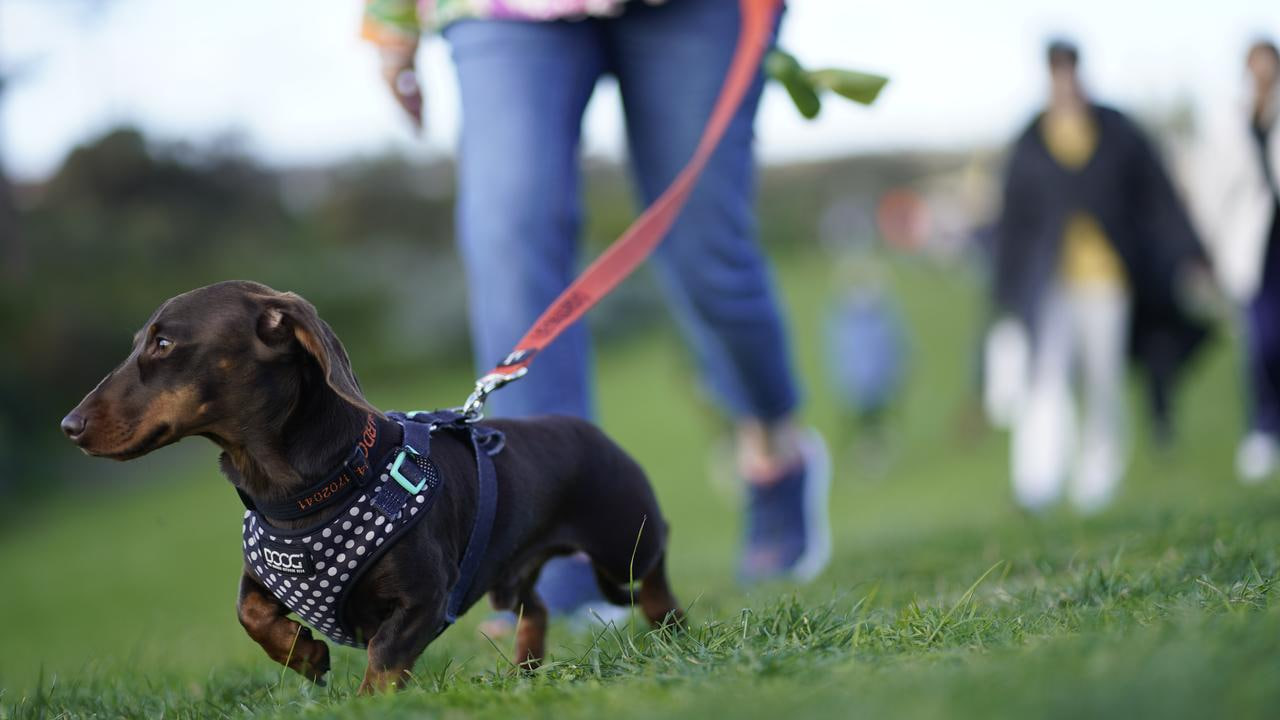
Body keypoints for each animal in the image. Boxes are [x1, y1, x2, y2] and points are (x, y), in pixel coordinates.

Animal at [62, 279, 680, 691]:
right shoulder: (262, 579)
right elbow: (250, 613)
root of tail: (591, 432)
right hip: (513, 571)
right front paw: (306, 655)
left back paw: (674, 635)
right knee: (538, 609)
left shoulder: (425, 600)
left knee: (653, 576)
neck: (303, 495)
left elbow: (383, 660)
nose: (69, 426)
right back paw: (524, 672)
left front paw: (367, 700)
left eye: (164, 344)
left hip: (623, 545)